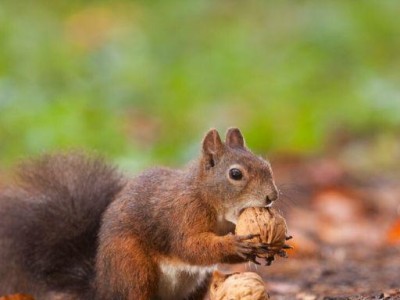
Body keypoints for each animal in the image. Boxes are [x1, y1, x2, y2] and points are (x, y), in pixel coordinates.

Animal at [0, 127, 280, 298]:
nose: (272, 196)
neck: (206, 196)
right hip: (133, 269)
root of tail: (103, 288)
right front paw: (237, 245)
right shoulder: (182, 215)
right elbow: (190, 246)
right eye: (235, 174)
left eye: (266, 164)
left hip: (197, 284)